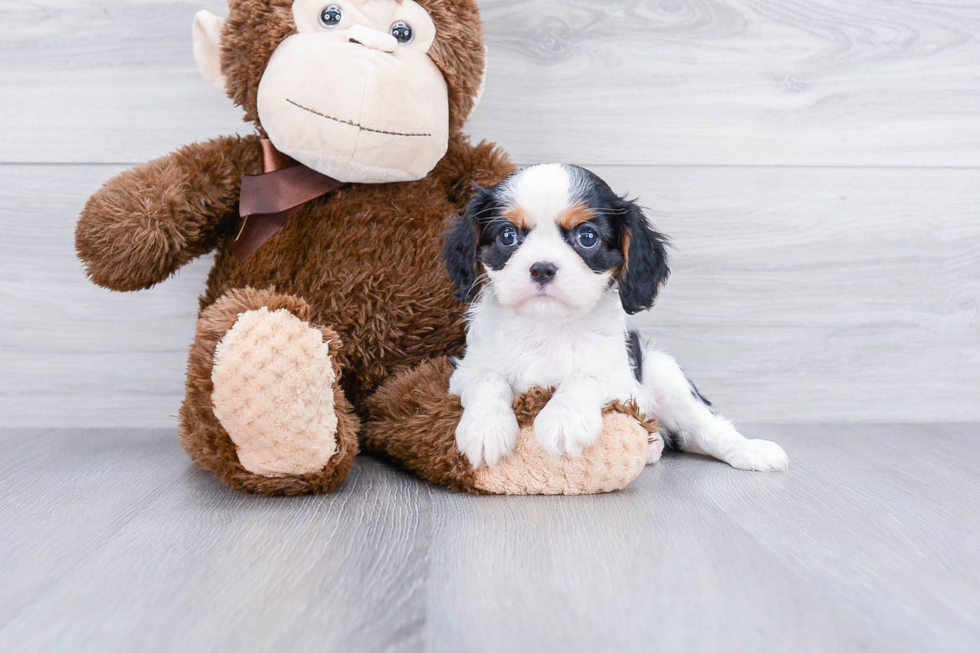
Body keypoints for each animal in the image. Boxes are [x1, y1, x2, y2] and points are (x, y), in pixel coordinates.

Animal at [444, 161, 788, 472]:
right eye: (507, 236)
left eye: (587, 237)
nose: (542, 268)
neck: (547, 326)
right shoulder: (465, 372)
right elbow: (489, 380)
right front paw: (486, 428)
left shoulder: (623, 382)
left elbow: (585, 377)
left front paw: (563, 420)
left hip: (665, 375)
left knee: (704, 429)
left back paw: (751, 451)